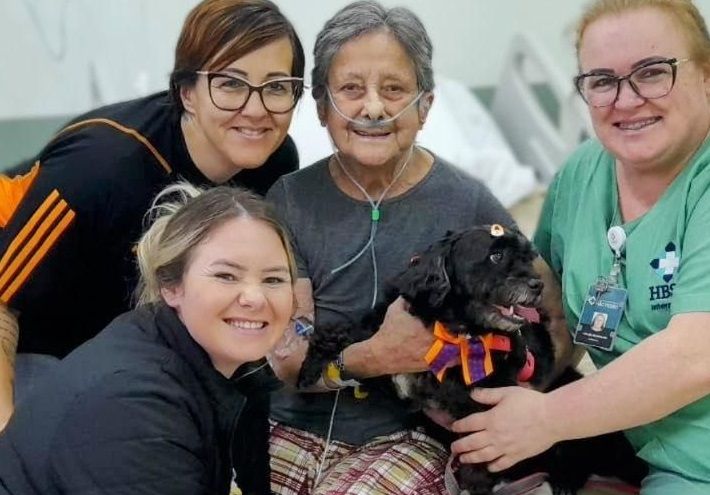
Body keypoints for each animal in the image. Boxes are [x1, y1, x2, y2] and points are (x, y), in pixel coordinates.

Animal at [298, 226, 648, 495]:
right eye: (496, 256)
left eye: (526, 257)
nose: (536, 285)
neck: (452, 330)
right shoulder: (383, 359)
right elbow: (343, 334)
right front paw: (308, 369)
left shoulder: (487, 409)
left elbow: (479, 460)